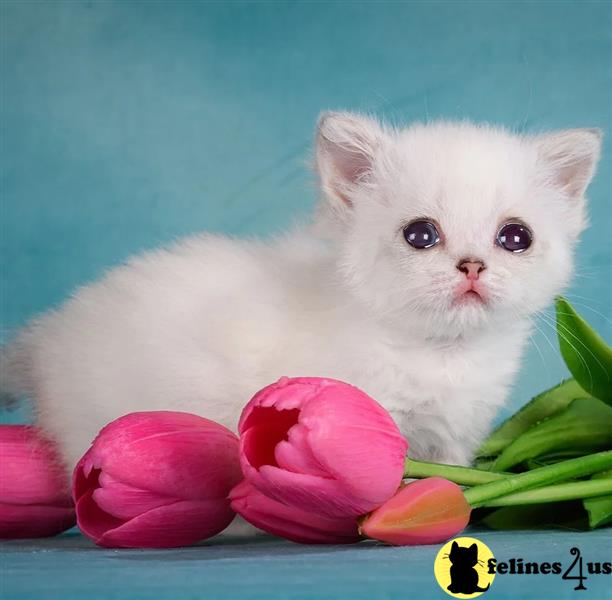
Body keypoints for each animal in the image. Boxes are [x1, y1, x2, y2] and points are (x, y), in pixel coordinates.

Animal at [0, 110, 604, 472]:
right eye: (420, 235)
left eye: (515, 238)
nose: (473, 265)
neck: (441, 354)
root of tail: (48, 333)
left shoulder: (457, 433)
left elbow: (449, 474)